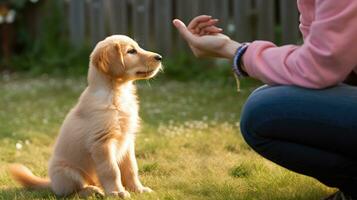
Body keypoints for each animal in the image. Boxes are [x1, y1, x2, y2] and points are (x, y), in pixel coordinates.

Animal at [9, 34, 162, 198]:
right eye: (131, 51)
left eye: (138, 47)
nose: (160, 57)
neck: (116, 93)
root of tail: (52, 184)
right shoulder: (102, 143)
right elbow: (112, 170)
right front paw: (117, 192)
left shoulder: (127, 141)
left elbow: (131, 168)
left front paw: (138, 189)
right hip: (68, 172)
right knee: (73, 191)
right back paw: (93, 190)